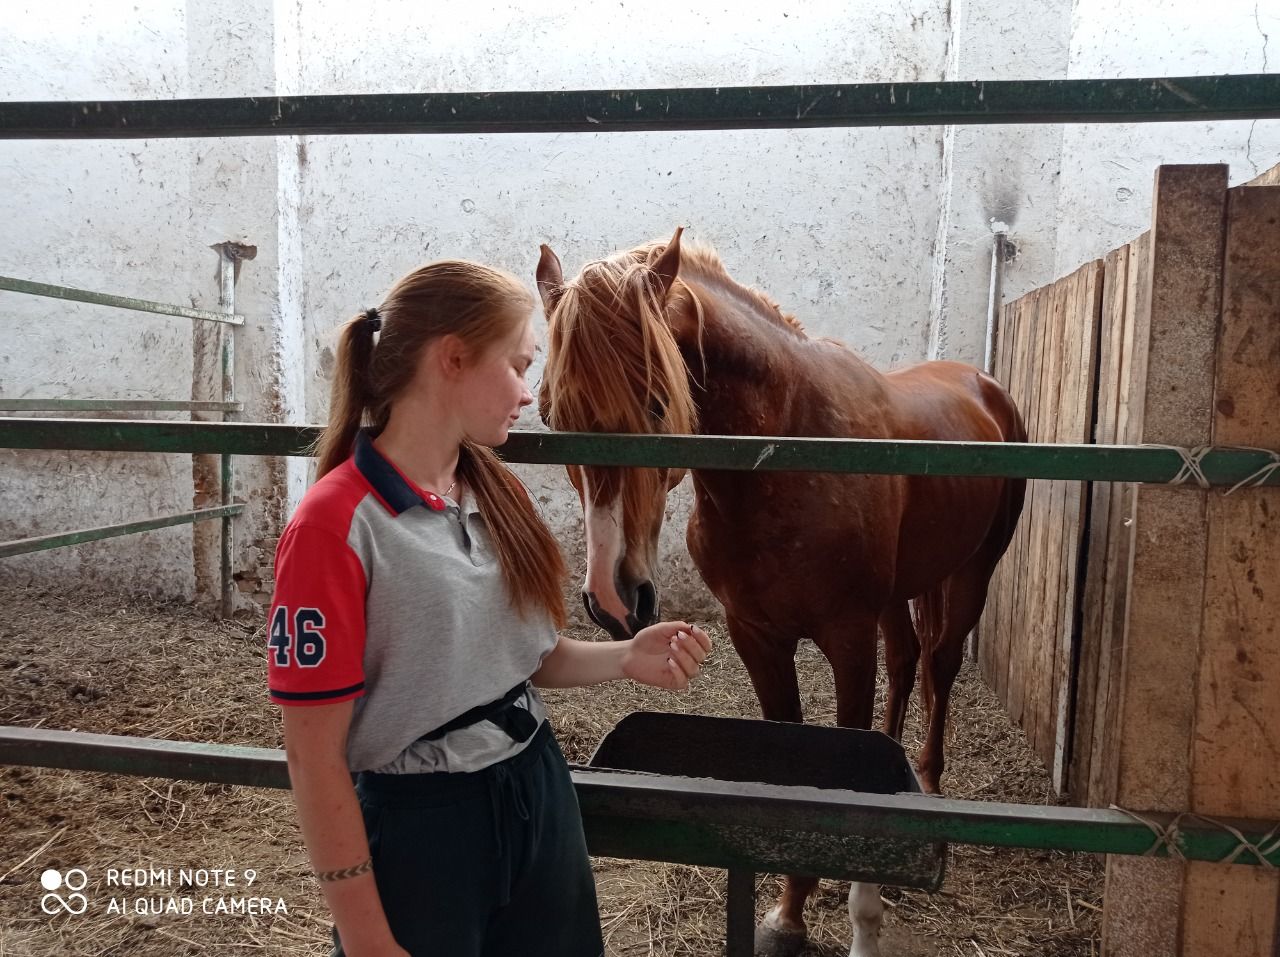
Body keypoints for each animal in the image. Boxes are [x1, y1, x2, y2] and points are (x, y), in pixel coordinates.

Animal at [535, 230, 1024, 957]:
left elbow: (835, 770)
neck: (785, 453)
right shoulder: (756, 635)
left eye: (656, 403)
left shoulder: (848, 639)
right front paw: (791, 911)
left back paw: (929, 789)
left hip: (970, 575)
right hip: (899, 595)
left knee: (939, 668)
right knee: (907, 661)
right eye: (550, 415)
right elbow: (792, 762)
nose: (613, 598)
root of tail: (983, 387)